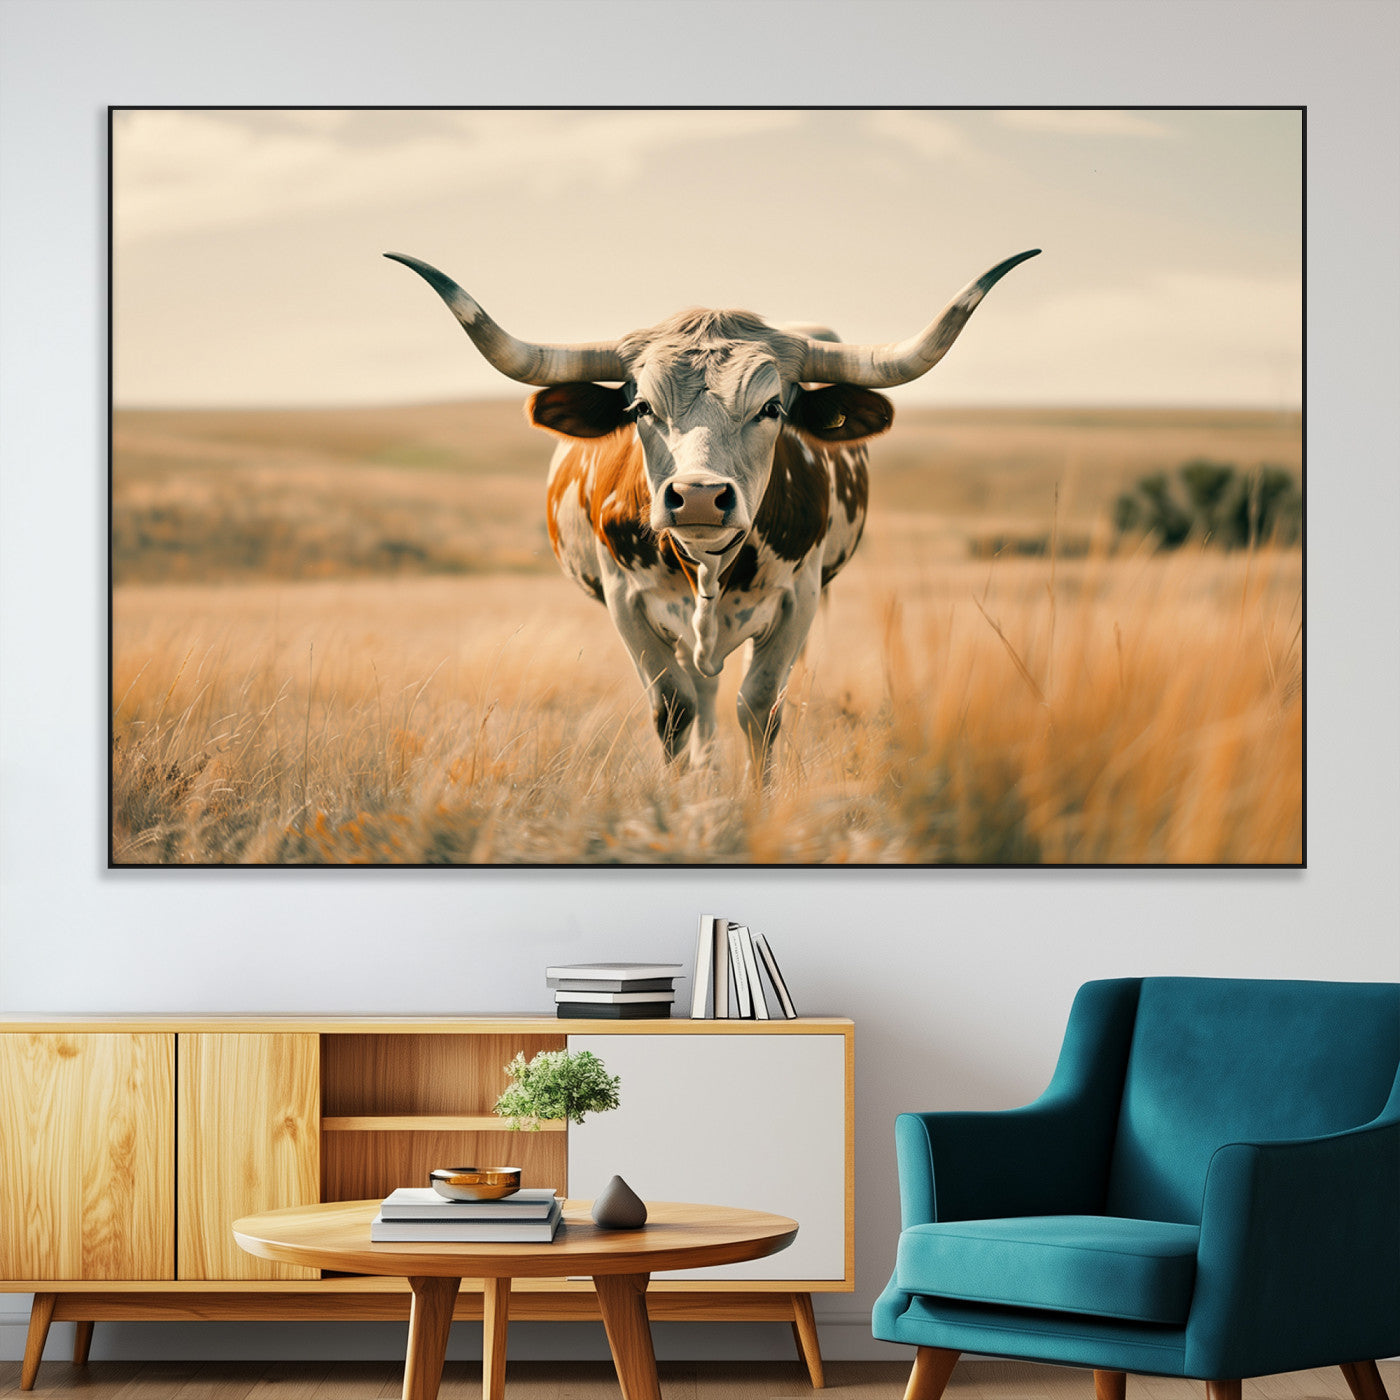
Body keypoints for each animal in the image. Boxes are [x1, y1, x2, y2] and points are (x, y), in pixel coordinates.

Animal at [386, 249, 1039, 778]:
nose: (698, 495)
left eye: (772, 407)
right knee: (698, 687)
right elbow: (674, 709)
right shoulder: (626, 601)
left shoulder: (799, 599)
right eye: (641, 407)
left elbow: (760, 707)